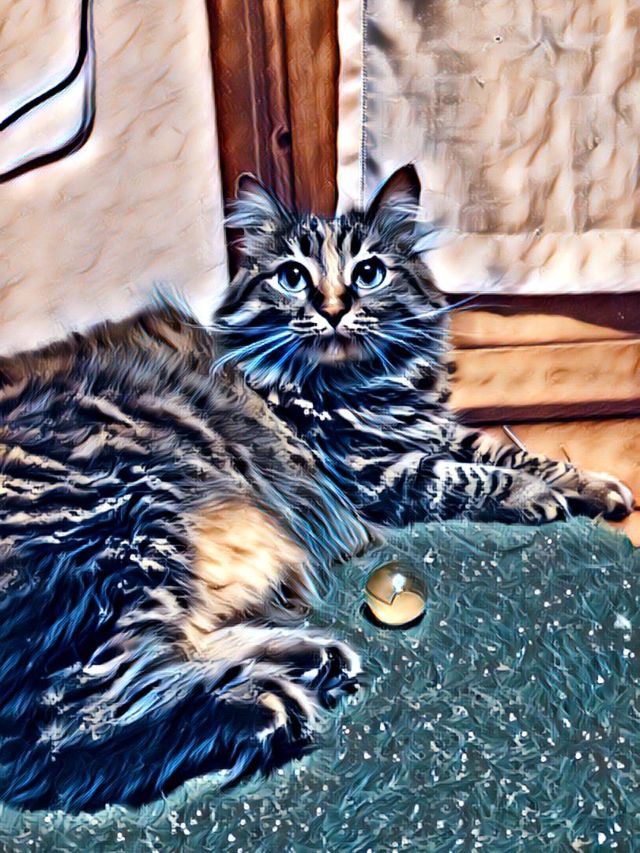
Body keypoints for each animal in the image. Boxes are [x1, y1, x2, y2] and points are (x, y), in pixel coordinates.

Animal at [0, 164, 633, 813]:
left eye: (369, 273)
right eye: (293, 277)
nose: (332, 309)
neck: (364, 386)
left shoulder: (430, 430)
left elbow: (509, 452)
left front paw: (593, 485)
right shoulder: (372, 471)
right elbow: (467, 476)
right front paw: (534, 496)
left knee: (164, 657)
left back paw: (308, 660)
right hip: (128, 529)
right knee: (66, 729)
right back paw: (260, 703)